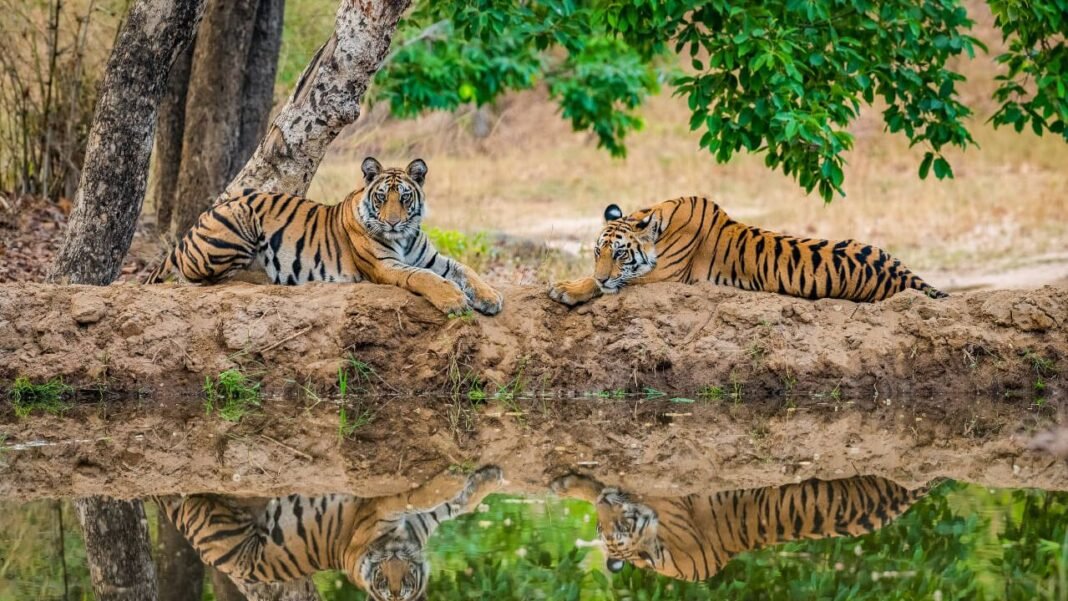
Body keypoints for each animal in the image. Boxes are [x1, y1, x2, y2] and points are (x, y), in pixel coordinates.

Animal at [143, 157, 503, 317]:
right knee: (206, 279)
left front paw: (490, 297)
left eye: (404, 198)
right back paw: (265, 277)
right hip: (239, 220)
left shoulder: (430, 257)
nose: (393, 223)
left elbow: (464, 269)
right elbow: (424, 278)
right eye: (381, 197)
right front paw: (454, 300)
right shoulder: (385, 266)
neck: (404, 237)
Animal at [155, 465, 503, 601]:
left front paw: (486, 478)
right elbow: (419, 495)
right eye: (382, 582)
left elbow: (458, 504)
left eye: (404, 584)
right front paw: (456, 478)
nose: (391, 564)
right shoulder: (376, 509)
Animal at [549, 196, 947, 306]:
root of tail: (902, 271)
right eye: (596, 252)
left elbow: (606, 284)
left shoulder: (664, 275)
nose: (604, 275)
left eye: (619, 254)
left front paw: (564, 288)